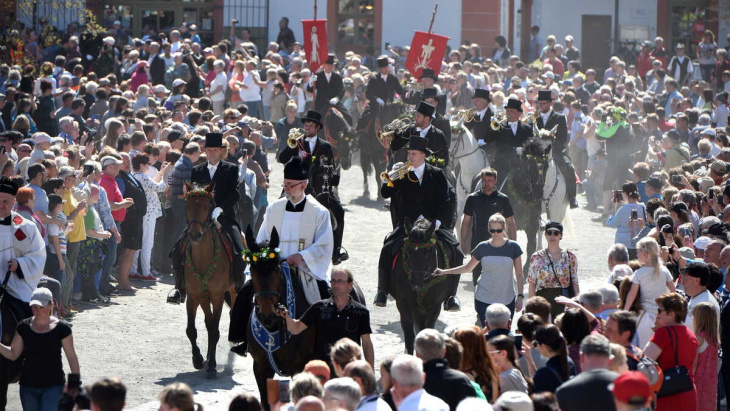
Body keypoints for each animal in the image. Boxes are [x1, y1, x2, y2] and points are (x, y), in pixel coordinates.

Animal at [181, 183, 236, 380]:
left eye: (207, 206)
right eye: (188, 205)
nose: (195, 235)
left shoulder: (218, 296)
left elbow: (214, 330)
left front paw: (212, 366)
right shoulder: (193, 296)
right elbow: (192, 329)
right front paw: (197, 359)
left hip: (233, 290)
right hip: (204, 298)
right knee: (208, 321)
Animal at [242, 227, 316, 410]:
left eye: (276, 269)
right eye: (252, 270)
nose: (267, 315)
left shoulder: (299, 367)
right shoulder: (260, 367)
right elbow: (265, 402)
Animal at [386, 216, 460, 354]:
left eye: (428, 252)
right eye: (408, 251)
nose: (415, 283)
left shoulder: (435, 306)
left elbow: (427, 330)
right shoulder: (403, 304)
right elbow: (409, 334)